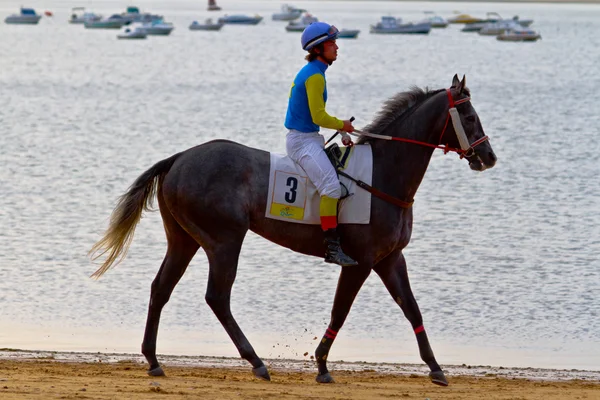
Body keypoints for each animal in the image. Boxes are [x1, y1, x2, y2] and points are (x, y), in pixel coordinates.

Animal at [89, 73, 496, 386]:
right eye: (469, 116)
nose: (488, 157)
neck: (383, 174)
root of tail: (179, 158)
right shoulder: (361, 261)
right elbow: (340, 311)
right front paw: (321, 364)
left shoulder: (390, 258)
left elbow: (412, 309)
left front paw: (436, 368)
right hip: (224, 240)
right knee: (217, 297)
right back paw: (255, 361)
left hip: (184, 239)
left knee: (161, 288)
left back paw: (153, 360)